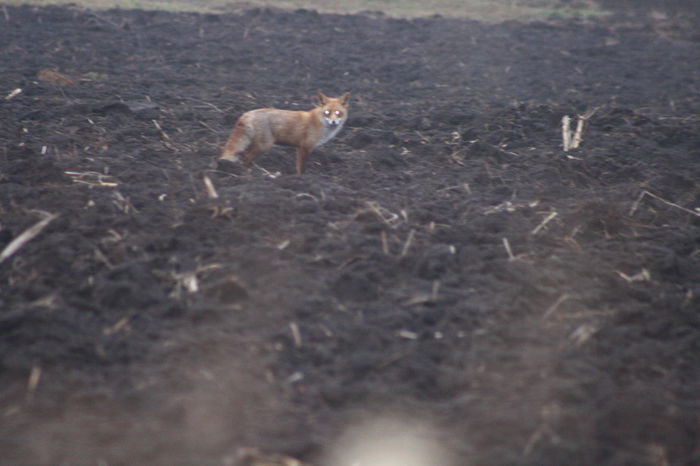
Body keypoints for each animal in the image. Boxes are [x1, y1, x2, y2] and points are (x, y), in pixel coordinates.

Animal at [219, 92, 350, 175]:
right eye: (327, 112)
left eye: (338, 113)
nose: (333, 121)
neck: (319, 122)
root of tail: (246, 113)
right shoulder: (305, 147)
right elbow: (301, 168)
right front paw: (302, 179)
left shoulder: (299, 148)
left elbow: (298, 166)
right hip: (264, 145)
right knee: (246, 157)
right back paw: (247, 174)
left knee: (245, 156)